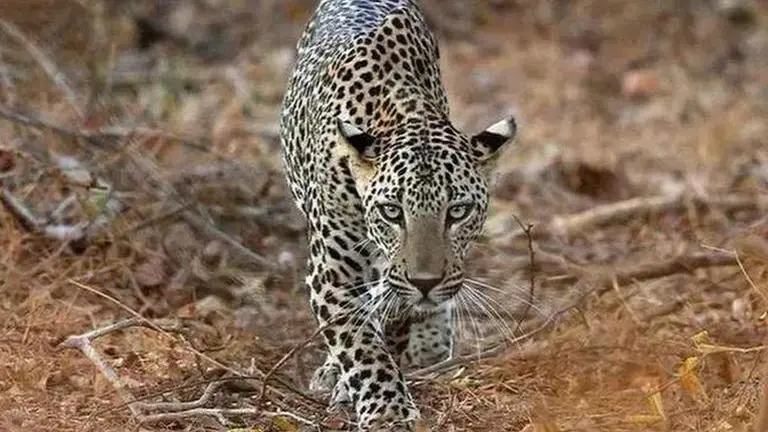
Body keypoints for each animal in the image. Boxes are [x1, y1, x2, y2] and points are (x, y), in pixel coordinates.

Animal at [279, 0, 517, 430]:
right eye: (392, 211)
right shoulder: (332, 274)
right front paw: (386, 409)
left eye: (458, 211)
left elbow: (392, 317)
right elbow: (361, 344)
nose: (425, 282)